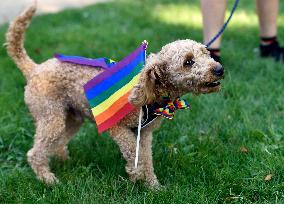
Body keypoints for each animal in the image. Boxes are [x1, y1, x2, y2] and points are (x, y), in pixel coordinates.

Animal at [5, 4, 224, 188]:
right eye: (188, 62)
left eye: (206, 53)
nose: (219, 69)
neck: (152, 93)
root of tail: (34, 69)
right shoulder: (118, 128)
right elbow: (134, 153)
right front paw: (135, 174)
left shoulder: (145, 134)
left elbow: (146, 158)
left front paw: (154, 187)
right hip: (51, 117)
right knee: (35, 152)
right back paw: (48, 179)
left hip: (71, 118)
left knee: (56, 144)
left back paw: (63, 161)